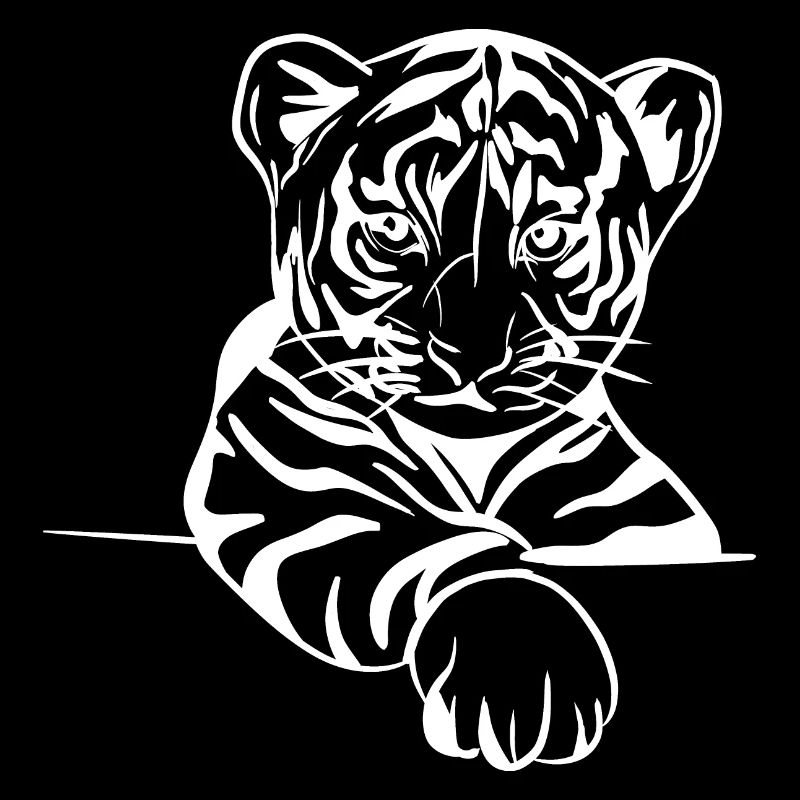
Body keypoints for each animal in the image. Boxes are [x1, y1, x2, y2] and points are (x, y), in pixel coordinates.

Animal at [184, 30, 748, 770]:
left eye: (547, 234)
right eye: (394, 229)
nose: (471, 347)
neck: (468, 453)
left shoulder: (638, 520)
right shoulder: (296, 493)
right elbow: (447, 549)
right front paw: (525, 675)